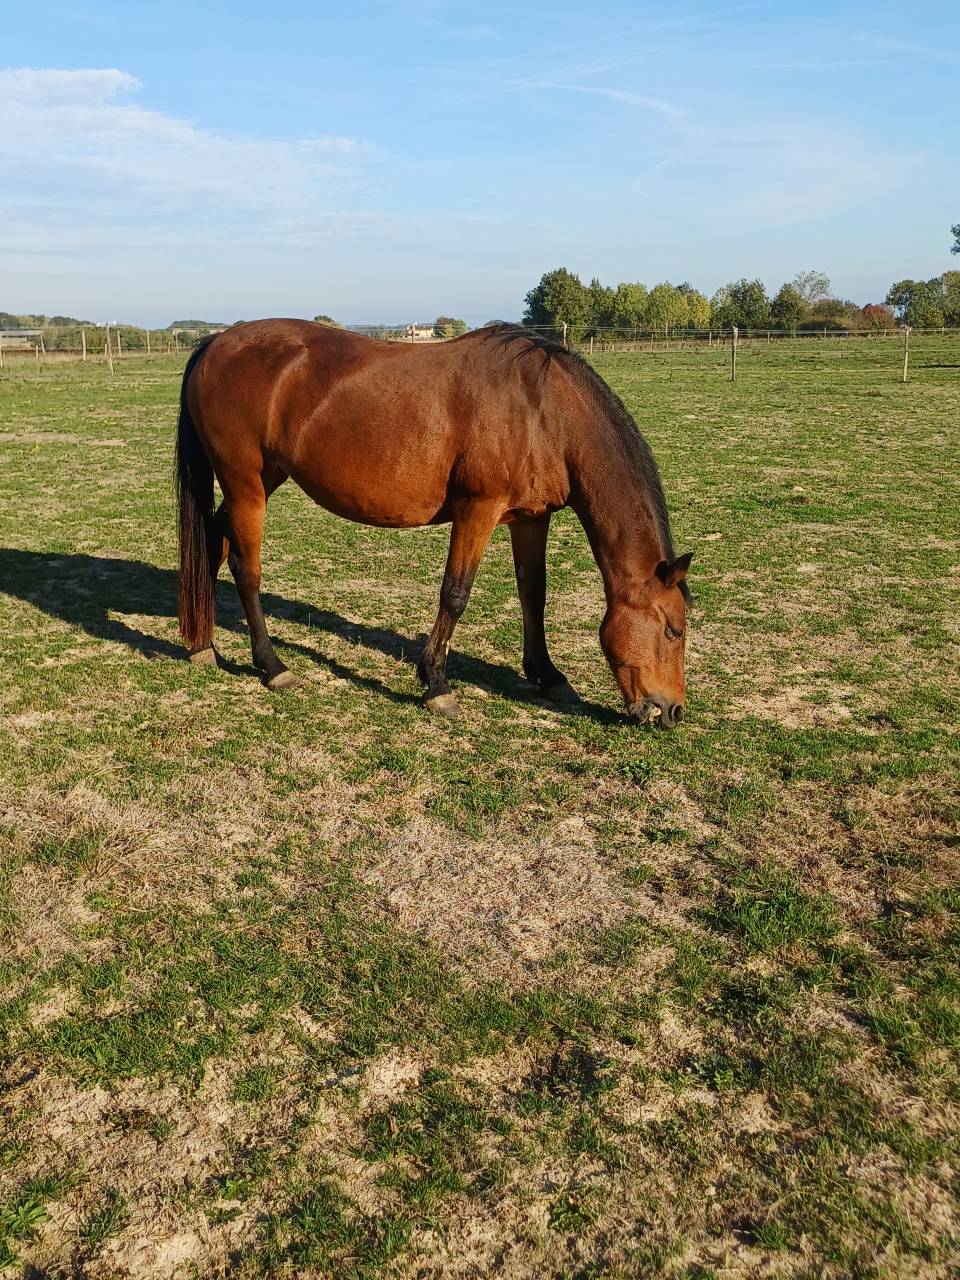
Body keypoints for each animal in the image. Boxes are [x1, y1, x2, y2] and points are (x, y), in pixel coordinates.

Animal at [175, 320, 692, 726]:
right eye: (674, 630)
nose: (672, 712)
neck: (543, 412)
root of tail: (215, 343)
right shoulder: (477, 510)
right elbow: (455, 594)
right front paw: (437, 685)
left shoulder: (530, 519)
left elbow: (533, 592)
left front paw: (547, 675)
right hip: (246, 486)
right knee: (246, 570)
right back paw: (272, 666)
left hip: (264, 480)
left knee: (213, 544)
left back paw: (202, 645)